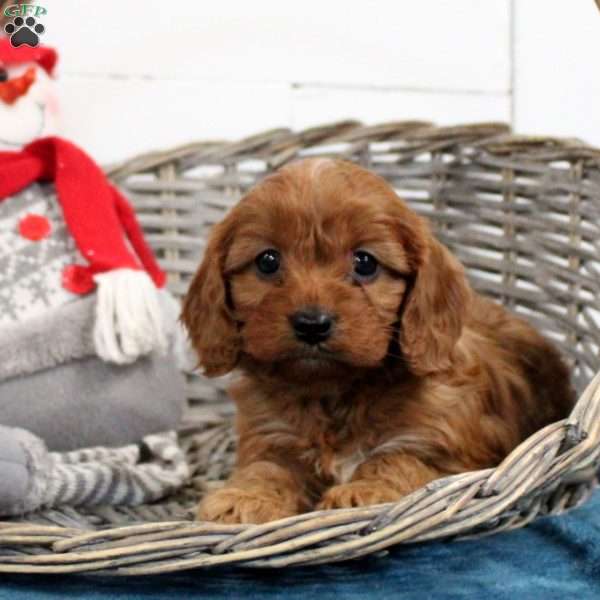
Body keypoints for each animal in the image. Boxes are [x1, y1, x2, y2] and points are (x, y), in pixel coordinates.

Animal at [182, 157, 572, 524]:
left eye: (365, 263)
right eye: (267, 261)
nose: (312, 324)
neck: (335, 395)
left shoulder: (459, 459)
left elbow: (399, 458)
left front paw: (364, 490)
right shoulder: (272, 437)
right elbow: (267, 468)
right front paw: (244, 498)